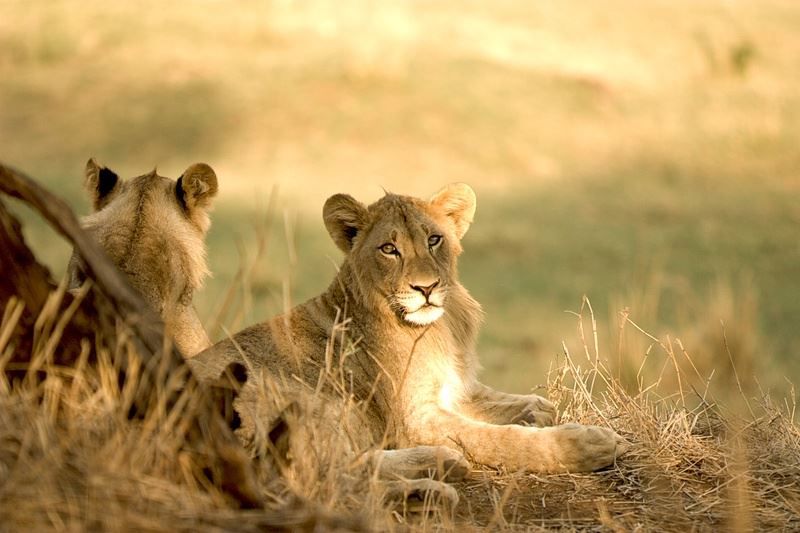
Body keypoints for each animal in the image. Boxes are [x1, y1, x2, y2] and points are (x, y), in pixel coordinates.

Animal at [191, 182, 628, 482]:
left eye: (434, 240)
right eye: (389, 249)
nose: (426, 288)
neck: (439, 327)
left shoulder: (450, 389)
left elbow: (498, 401)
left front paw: (535, 410)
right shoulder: (414, 419)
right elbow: (497, 438)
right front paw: (588, 442)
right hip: (299, 395)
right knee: (315, 471)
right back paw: (439, 461)